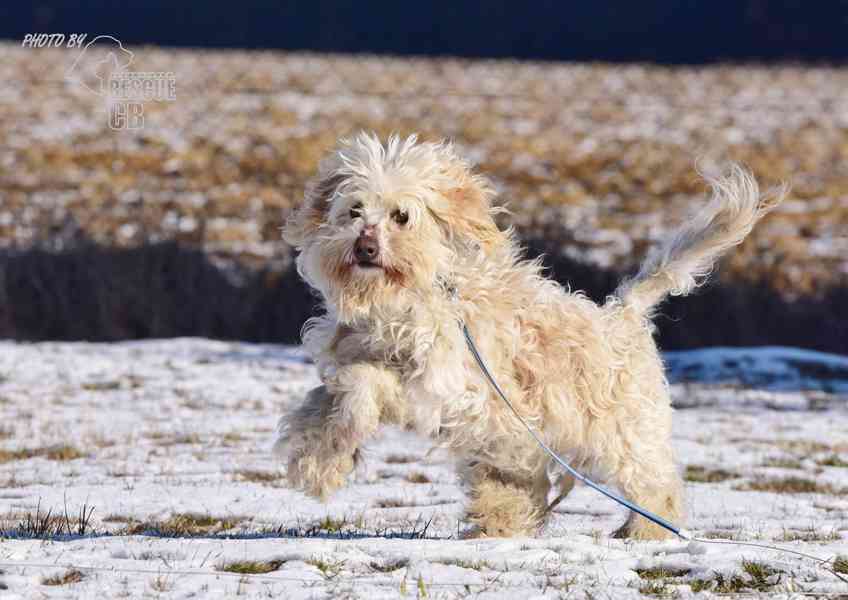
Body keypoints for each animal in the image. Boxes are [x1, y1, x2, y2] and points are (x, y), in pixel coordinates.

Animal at [274, 134, 780, 540]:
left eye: (402, 216)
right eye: (353, 210)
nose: (365, 247)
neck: (405, 298)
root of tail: (624, 315)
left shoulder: (444, 387)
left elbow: (365, 385)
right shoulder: (349, 358)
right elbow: (325, 403)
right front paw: (316, 464)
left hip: (626, 438)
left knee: (658, 487)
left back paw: (645, 533)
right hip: (515, 446)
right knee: (519, 488)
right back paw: (500, 525)